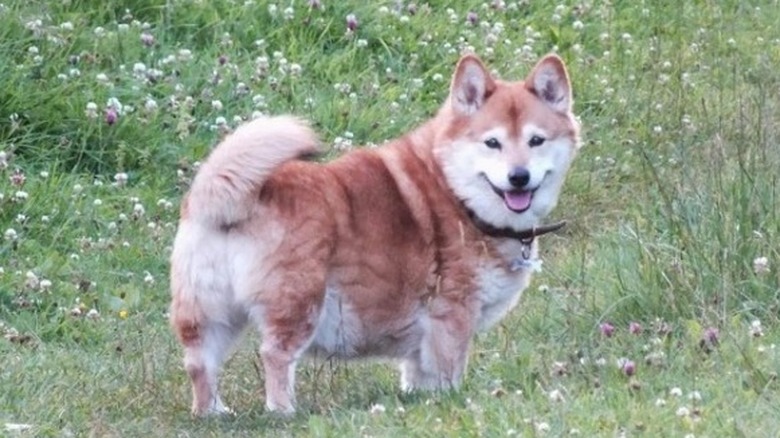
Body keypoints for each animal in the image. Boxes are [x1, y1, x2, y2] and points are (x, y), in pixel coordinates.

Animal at [174, 51, 580, 414]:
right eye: (492, 143)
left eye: (536, 141)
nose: (518, 177)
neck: (456, 192)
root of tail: (220, 195)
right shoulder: (452, 314)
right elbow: (449, 372)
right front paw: (451, 400)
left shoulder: (423, 337)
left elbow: (418, 375)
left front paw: (422, 400)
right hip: (298, 301)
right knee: (275, 355)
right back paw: (283, 411)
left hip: (210, 312)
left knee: (199, 362)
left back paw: (212, 412)